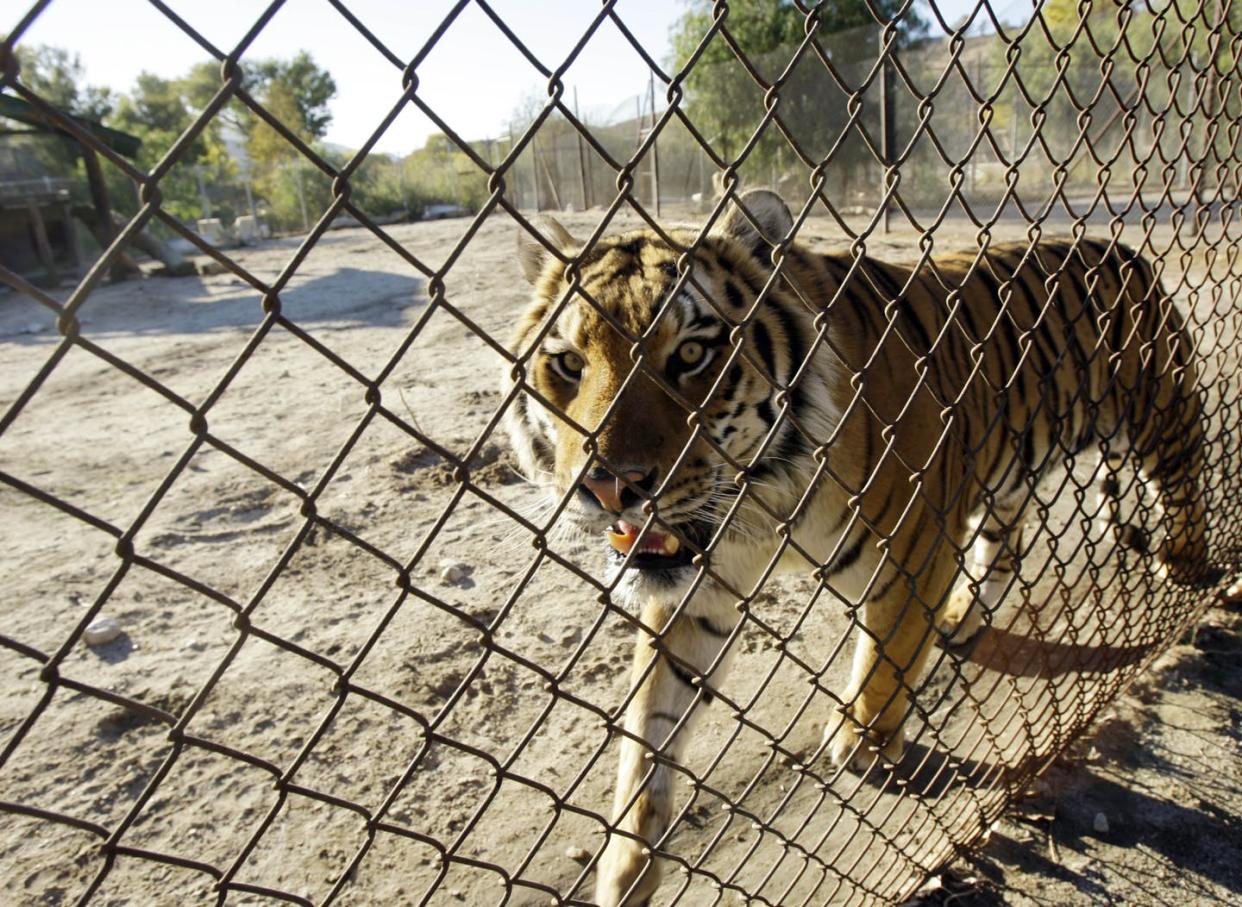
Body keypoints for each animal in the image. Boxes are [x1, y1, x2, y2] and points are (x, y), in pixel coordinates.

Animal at [499, 187, 1217, 899]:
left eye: (692, 356)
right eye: (568, 364)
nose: (608, 486)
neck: (758, 498)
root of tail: (1125, 250)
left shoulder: (916, 545)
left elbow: (886, 655)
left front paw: (864, 743)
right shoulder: (699, 588)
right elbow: (650, 725)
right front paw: (627, 866)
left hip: (1161, 415)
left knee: (1186, 483)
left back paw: (1185, 566)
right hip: (1008, 476)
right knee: (1005, 545)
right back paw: (962, 619)